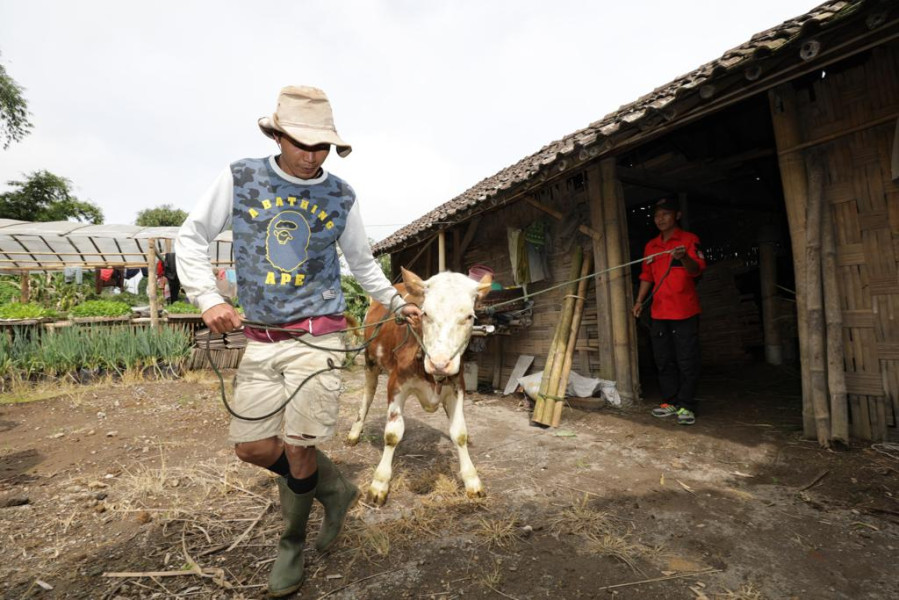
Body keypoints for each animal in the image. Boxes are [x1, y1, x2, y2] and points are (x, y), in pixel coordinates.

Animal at [350, 268, 492, 506]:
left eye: (469, 316)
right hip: (370, 361)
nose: (440, 363)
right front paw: (380, 483)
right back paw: (354, 431)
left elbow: (459, 433)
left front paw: (472, 480)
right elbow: (392, 434)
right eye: (425, 313)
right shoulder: (396, 384)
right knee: (367, 396)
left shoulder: (457, 386)